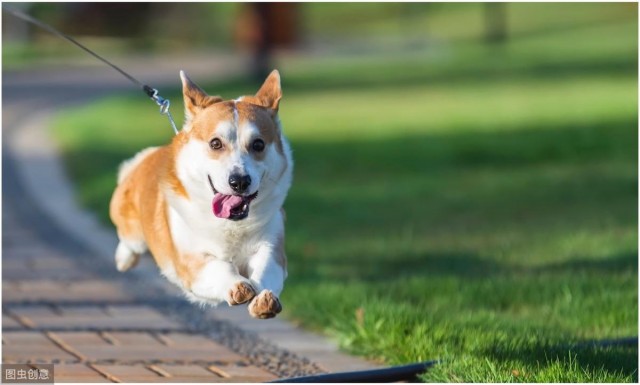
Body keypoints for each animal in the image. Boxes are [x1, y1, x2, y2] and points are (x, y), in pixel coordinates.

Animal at [109, 70, 292, 318]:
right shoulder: (192, 260)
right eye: (215, 143)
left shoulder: (271, 246)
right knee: (128, 241)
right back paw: (123, 259)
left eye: (258, 144)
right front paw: (238, 286)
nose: (239, 182)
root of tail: (145, 158)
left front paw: (264, 300)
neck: (230, 225)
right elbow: (219, 266)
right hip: (133, 232)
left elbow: (265, 268)